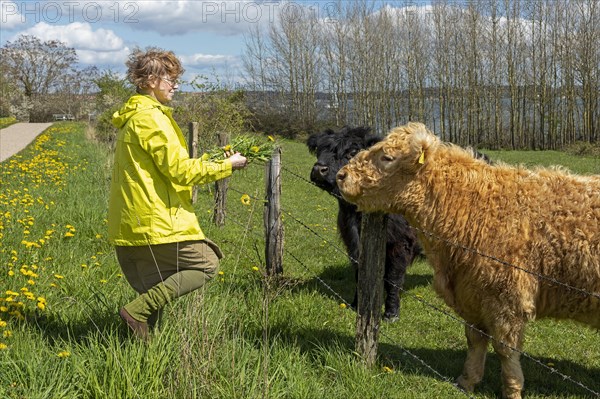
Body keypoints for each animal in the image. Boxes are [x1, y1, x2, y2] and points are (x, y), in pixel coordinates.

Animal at [308, 127, 420, 322]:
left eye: (353, 152)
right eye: (319, 149)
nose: (318, 169)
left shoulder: (400, 243)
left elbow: (393, 279)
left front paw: (391, 313)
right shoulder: (353, 242)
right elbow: (360, 273)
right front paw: (356, 304)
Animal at [338, 122, 600, 399]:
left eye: (387, 157)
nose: (341, 175)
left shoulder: (507, 299)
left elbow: (505, 349)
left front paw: (512, 390)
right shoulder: (472, 294)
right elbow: (475, 340)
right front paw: (467, 381)